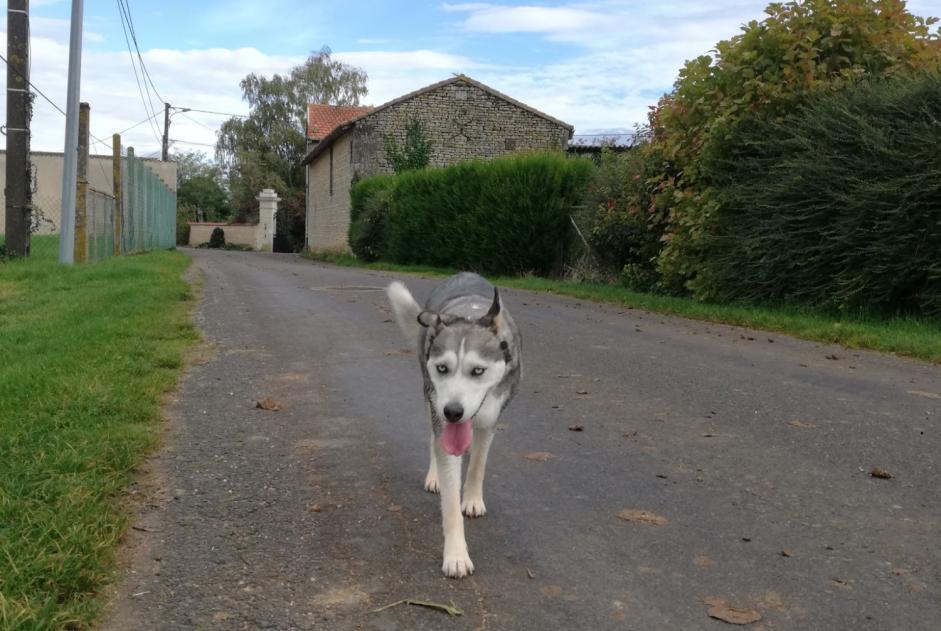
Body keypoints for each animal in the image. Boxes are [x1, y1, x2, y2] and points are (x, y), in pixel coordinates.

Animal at [388, 272, 520, 576]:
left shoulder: (489, 420)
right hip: (430, 402)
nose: (453, 412)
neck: (469, 316)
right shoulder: (440, 418)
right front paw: (456, 555)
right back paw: (434, 475)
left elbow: (478, 464)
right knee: (433, 440)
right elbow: (449, 500)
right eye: (442, 368)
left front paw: (471, 499)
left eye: (478, 371)